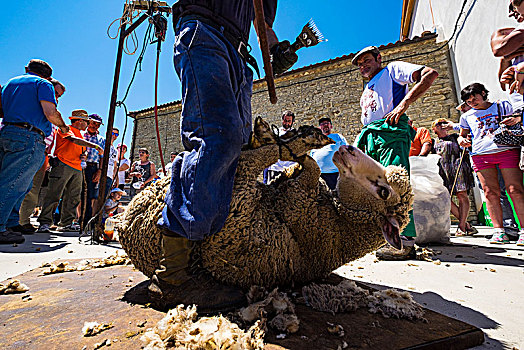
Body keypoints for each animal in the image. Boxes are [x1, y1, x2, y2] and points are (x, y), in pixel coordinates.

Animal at [118, 117, 414, 290]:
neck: (340, 225)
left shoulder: (293, 202)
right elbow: (306, 169)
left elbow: (313, 168)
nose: (347, 148)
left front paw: (299, 148)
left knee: (256, 156)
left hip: (235, 199)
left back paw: (281, 138)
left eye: (384, 192)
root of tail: (125, 227)